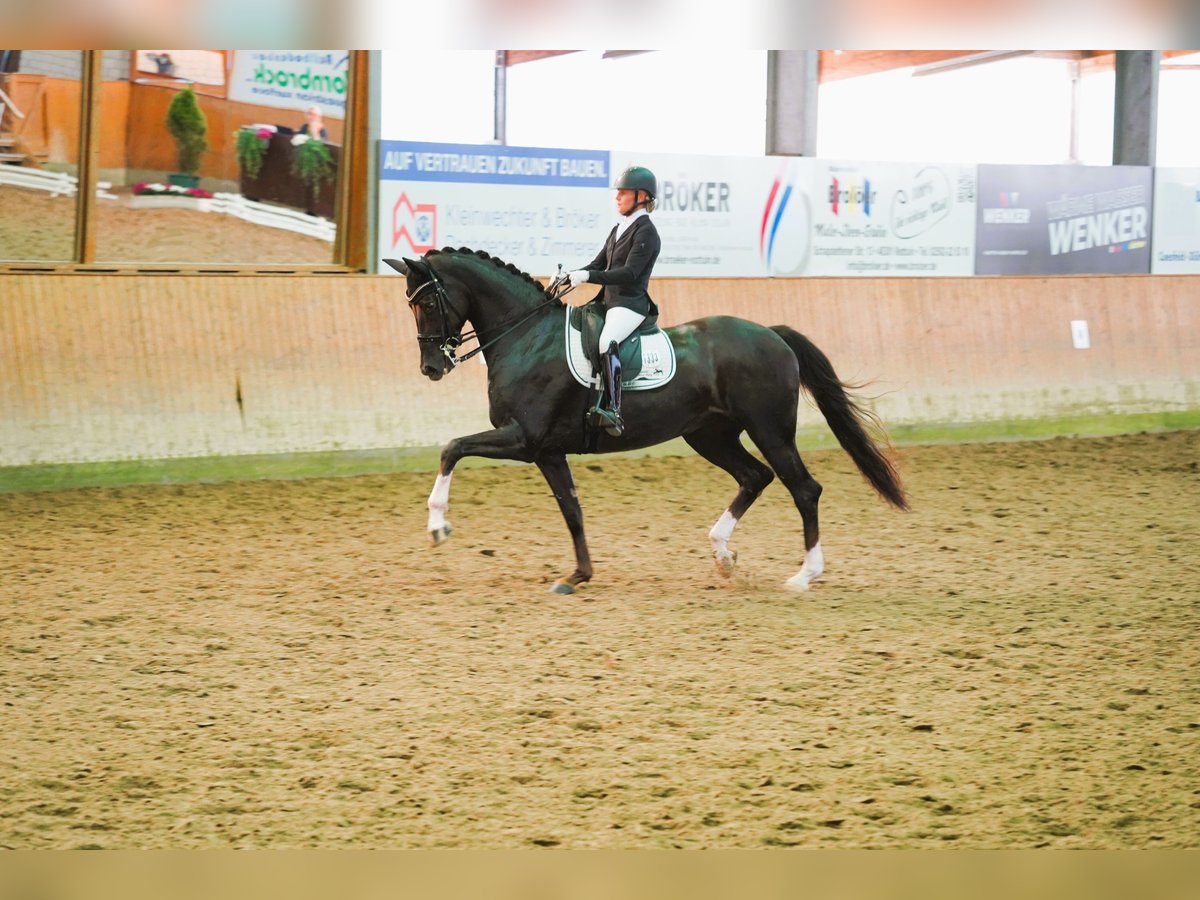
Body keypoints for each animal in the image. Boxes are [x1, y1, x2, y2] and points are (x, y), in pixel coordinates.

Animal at [388, 250, 902, 595]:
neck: (527, 336)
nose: (432, 367)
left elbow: (452, 447)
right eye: (410, 305)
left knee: (804, 488)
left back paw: (803, 576)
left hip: (771, 431)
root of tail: (772, 334)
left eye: (427, 304)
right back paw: (722, 554)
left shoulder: (524, 438)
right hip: (709, 436)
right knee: (755, 477)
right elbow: (571, 510)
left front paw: (438, 526)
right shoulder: (547, 451)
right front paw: (578, 575)